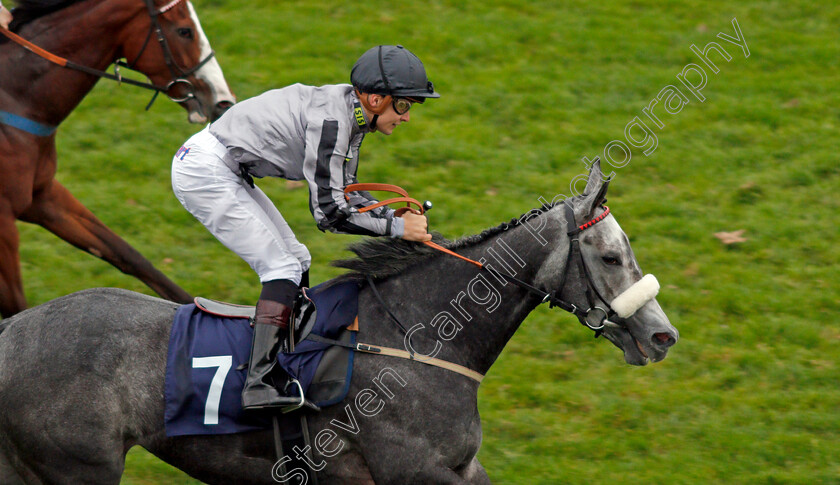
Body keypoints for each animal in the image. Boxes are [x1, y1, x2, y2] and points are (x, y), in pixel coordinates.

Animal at [0, 0, 235, 316]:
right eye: (184, 31)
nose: (224, 101)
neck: (17, 99)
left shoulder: (42, 195)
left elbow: (130, 257)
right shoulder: (5, 222)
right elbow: (16, 307)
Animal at [0, 161, 676, 482]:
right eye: (610, 257)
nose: (662, 335)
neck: (412, 340)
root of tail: (13, 331)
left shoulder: (460, 467)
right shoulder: (413, 470)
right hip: (78, 466)